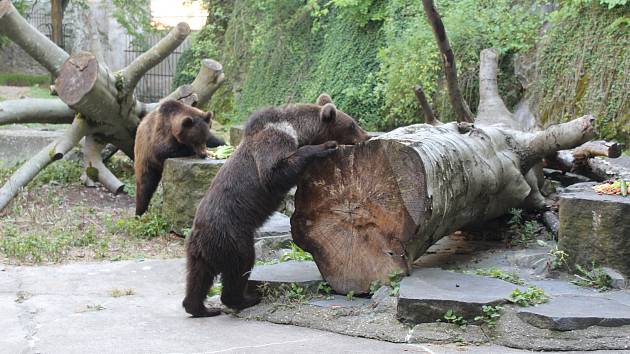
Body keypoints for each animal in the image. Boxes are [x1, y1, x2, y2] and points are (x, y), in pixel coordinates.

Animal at [183, 93, 370, 316]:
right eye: (352, 124)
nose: (367, 136)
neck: (298, 129)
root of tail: (200, 238)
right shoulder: (275, 140)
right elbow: (274, 173)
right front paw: (326, 146)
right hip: (233, 236)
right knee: (241, 265)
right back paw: (245, 299)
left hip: (198, 252)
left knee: (198, 278)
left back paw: (200, 308)